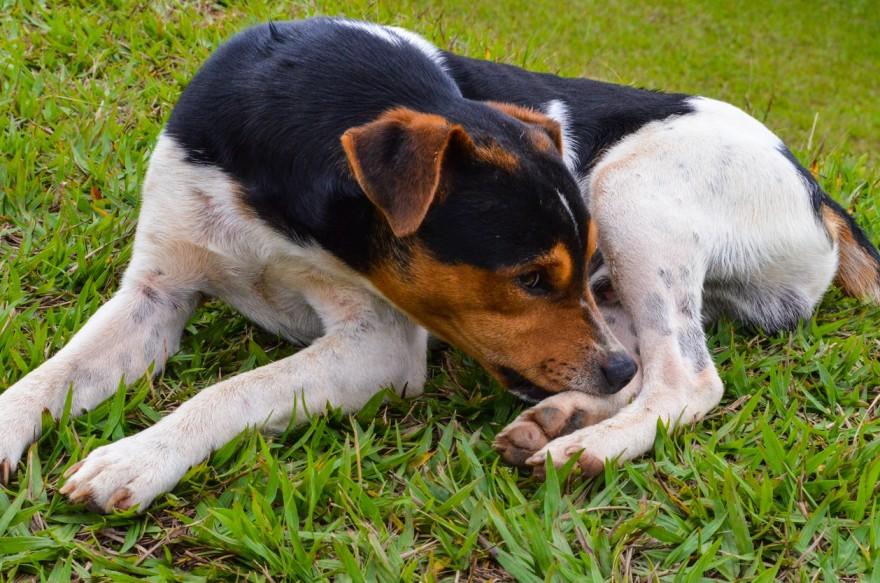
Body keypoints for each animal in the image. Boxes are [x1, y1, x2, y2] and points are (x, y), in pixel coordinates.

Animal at [0, 17, 876, 512]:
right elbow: (46, 378)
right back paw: (560, 417)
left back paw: (585, 445)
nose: (608, 365)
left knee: (682, 377)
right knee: (646, 367)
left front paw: (139, 457)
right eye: (530, 277)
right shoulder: (154, 291)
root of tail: (816, 187)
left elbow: (229, 391)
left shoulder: (377, 345)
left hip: (637, 195)